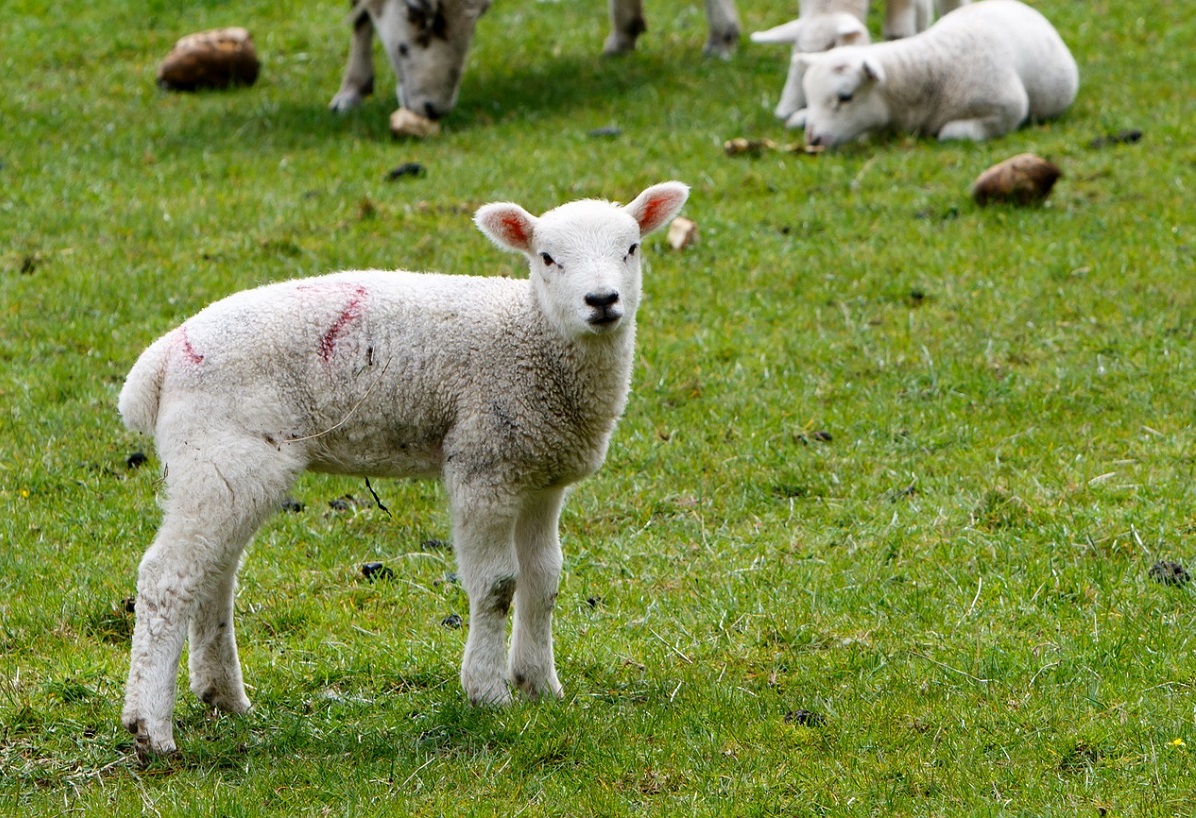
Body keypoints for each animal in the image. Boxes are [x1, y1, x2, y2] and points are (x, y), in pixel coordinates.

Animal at [119, 181, 693, 755]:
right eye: (547, 257)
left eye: (632, 248)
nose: (602, 301)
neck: (533, 336)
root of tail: (161, 360)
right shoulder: (484, 462)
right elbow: (498, 584)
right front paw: (488, 693)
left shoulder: (540, 473)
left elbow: (544, 579)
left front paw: (540, 685)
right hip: (220, 453)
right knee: (168, 578)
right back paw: (151, 727)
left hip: (226, 467)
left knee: (214, 573)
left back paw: (224, 696)